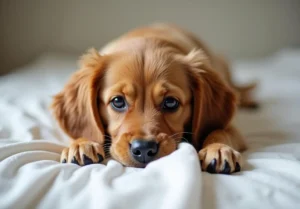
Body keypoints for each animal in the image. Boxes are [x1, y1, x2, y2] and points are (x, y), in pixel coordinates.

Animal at [50, 22, 256, 174]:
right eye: (117, 101)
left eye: (171, 102)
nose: (143, 149)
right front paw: (82, 143)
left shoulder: (233, 127)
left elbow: (219, 130)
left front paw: (218, 149)